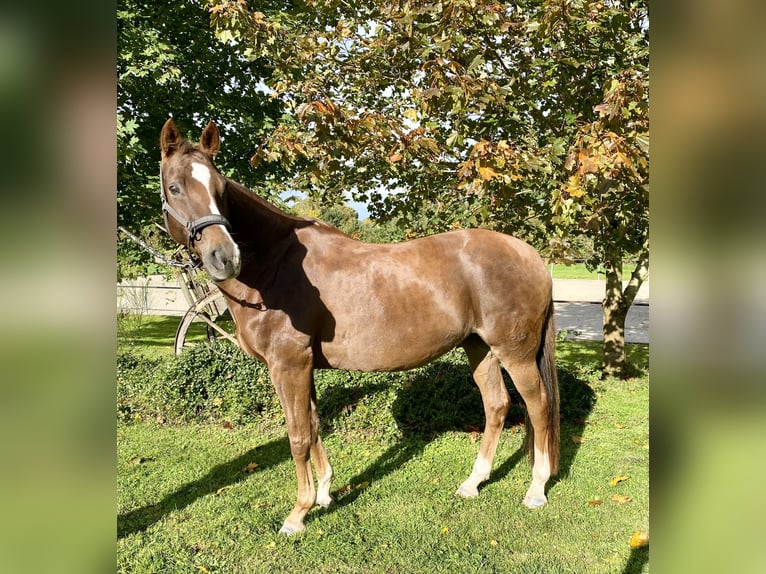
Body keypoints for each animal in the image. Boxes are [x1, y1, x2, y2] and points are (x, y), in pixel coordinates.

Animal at [159, 119, 560, 536]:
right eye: (174, 187)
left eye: (220, 190)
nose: (224, 257)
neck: (275, 267)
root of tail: (530, 255)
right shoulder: (304, 367)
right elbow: (314, 425)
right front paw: (323, 494)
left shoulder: (288, 365)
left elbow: (298, 436)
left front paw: (298, 514)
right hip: (478, 347)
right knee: (497, 405)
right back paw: (472, 483)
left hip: (515, 353)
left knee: (538, 406)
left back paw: (536, 489)